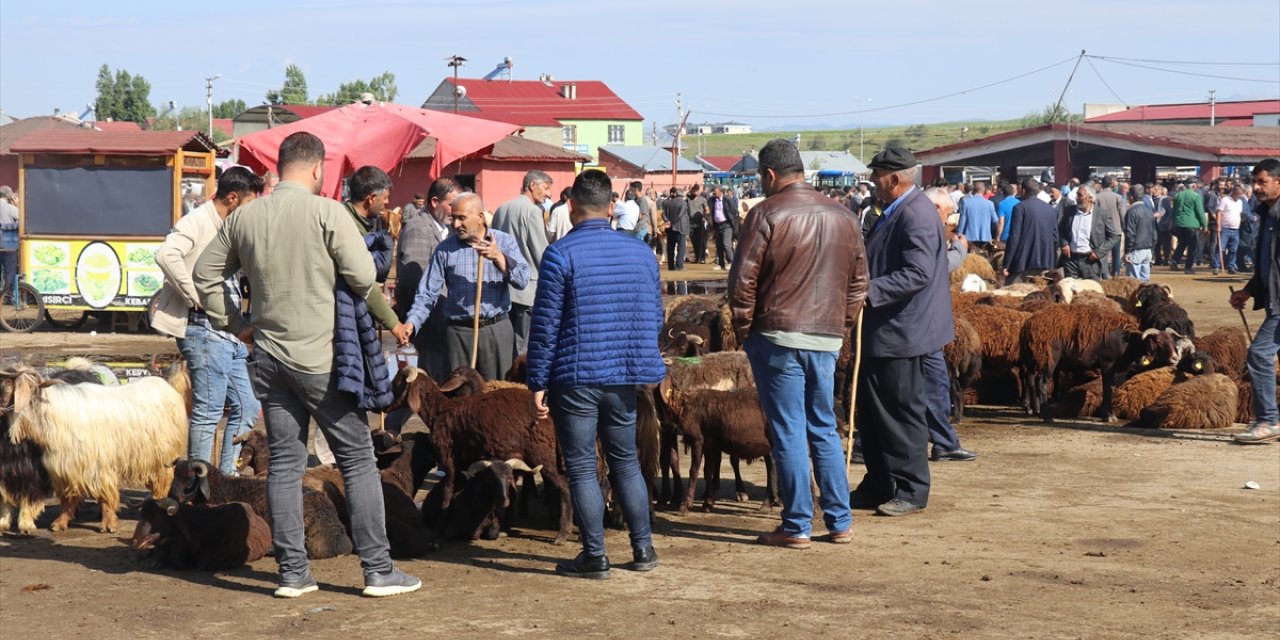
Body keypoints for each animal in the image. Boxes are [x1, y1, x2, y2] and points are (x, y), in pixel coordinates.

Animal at [7, 368, 186, 532]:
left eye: (25, 390)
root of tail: (166, 387)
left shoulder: (98, 466)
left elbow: (105, 494)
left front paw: (108, 524)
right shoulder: (66, 466)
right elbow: (68, 497)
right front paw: (60, 522)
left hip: (163, 457)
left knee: (162, 482)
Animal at [386, 368, 573, 542]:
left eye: (397, 383)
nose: (384, 406)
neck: (439, 410)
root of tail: (551, 417)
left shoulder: (449, 459)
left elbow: (447, 493)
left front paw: (440, 527)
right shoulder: (464, 463)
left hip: (543, 454)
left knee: (564, 486)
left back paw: (562, 533)